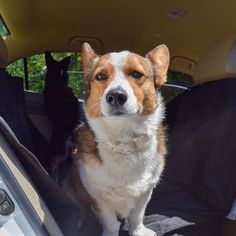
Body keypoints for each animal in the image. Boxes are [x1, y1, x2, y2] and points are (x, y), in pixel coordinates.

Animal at [63, 42, 169, 236]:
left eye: (136, 74)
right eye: (100, 76)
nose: (116, 96)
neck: (123, 137)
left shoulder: (145, 192)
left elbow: (137, 216)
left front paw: (139, 231)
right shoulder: (98, 199)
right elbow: (111, 223)